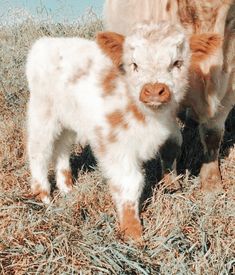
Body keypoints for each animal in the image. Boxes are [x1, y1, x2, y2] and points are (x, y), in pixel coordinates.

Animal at [26, 22, 190, 240]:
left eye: (177, 63)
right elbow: (130, 182)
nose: (154, 91)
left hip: (68, 118)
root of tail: (45, 42)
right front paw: (132, 232)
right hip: (42, 113)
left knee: (62, 147)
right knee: (39, 151)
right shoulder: (116, 146)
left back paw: (67, 187)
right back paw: (43, 196)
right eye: (134, 64)